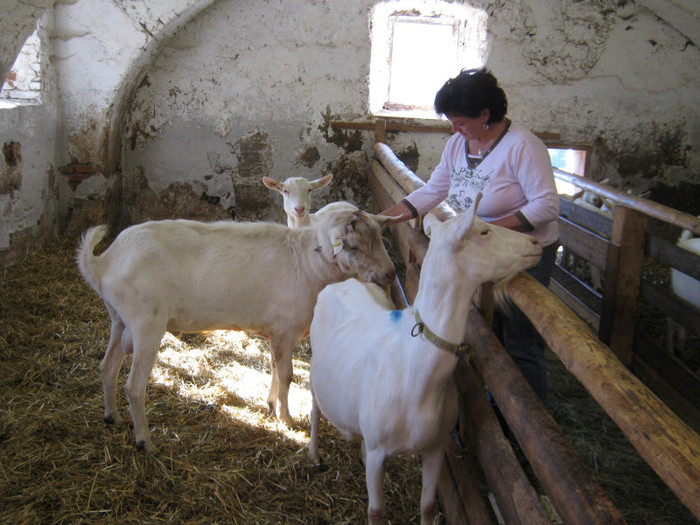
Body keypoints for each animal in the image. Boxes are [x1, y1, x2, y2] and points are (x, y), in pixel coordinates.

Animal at [77, 204, 396, 450]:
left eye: (380, 238)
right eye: (354, 246)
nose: (391, 273)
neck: (308, 263)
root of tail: (103, 262)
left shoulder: (276, 333)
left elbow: (274, 369)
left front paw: (271, 405)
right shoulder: (286, 329)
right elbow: (287, 376)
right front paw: (287, 418)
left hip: (120, 320)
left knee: (107, 367)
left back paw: (112, 416)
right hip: (146, 324)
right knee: (133, 386)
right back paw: (144, 441)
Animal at [308, 199, 540, 520]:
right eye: (483, 231)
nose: (536, 243)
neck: (415, 366)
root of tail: (346, 282)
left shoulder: (435, 447)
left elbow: (428, 506)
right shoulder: (380, 451)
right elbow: (376, 512)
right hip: (314, 373)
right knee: (315, 411)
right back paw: (314, 455)